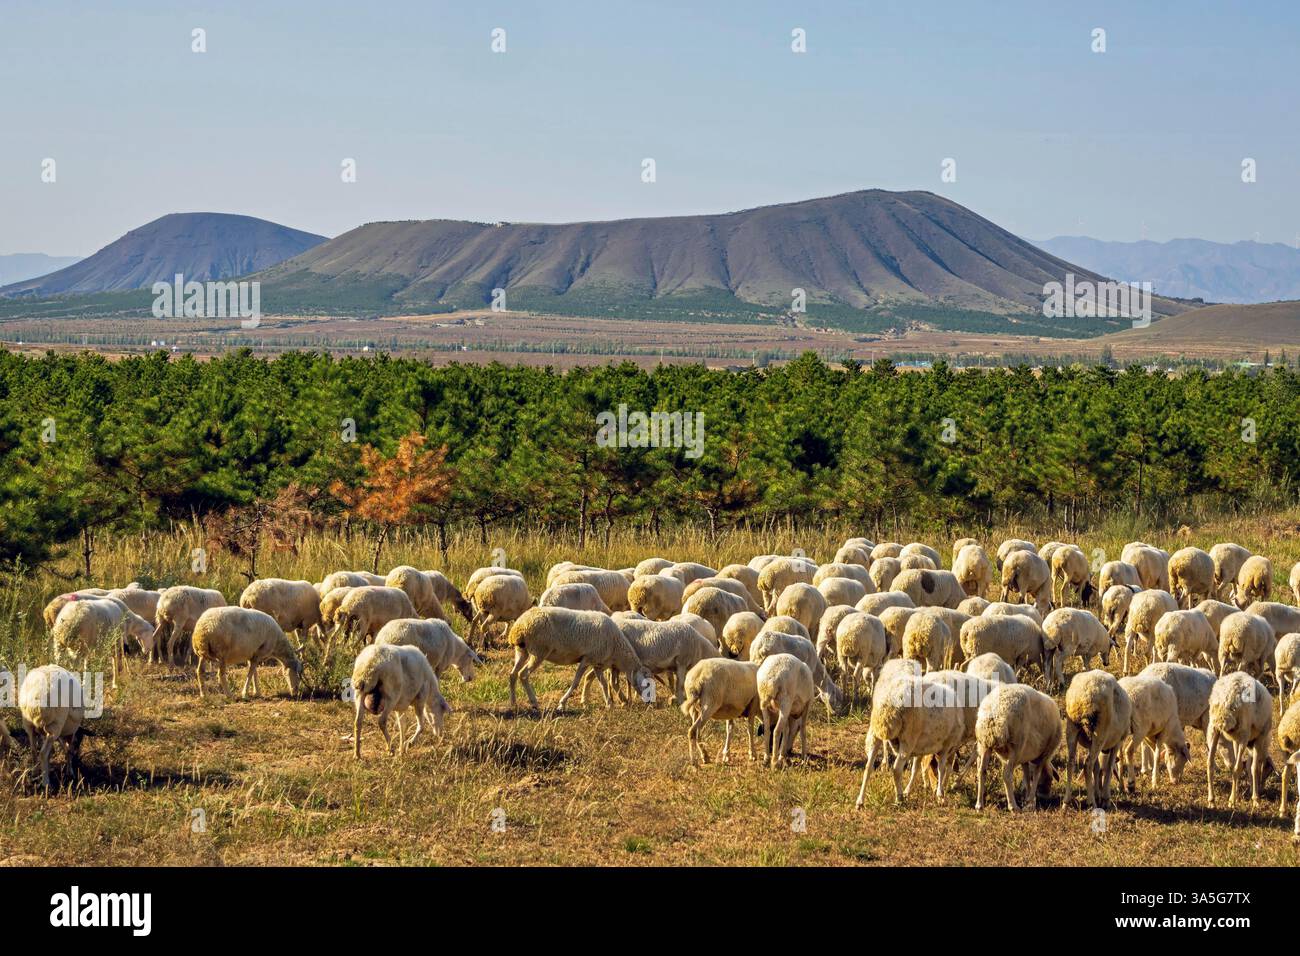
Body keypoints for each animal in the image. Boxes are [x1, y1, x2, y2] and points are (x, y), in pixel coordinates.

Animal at [507, 607, 651, 712]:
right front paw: (562, 704)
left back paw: (513, 703)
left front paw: (608, 703)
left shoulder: (597, 663)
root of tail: (518, 627)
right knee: (523, 674)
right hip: (538, 651)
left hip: (522, 650)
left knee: (512, 674)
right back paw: (534, 703)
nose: (650, 703)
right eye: (648, 684)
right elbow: (576, 682)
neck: (616, 647)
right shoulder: (587, 659)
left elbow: (602, 683)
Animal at [856, 675, 965, 806]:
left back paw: (860, 801)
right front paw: (940, 795)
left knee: (868, 767)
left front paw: (908, 790)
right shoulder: (945, 746)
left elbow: (915, 768)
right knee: (896, 769)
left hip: (875, 732)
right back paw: (899, 798)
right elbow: (941, 769)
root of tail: (889, 702)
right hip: (907, 738)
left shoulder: (921, 748)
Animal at [973, 683, 1062, 811]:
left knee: (981, 771)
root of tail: (995, 712)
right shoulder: (1045, 753)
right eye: (1050, 779)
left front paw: (1028, 797)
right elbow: (1036, 774)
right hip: (1016, 745)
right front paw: (1031, 800)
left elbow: (1026, 774)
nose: (1046, 796)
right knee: (1006, 775)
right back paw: (1013, 806)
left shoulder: (1025, 757)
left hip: (984, 743)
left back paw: (979, 804)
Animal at [1063, 670, 1133, 809]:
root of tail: (1084, 696)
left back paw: (1066, 802)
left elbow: (1097, 767)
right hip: (1099, 733)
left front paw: (1097, 793)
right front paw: (1105, 798)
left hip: (1072, 727)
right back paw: (1091, 803)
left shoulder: (1091, 744)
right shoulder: (1118, 742)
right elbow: (1109, 767)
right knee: (1087, 765)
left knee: (1071, 762)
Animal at [1206, 671, 1273, 808]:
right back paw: (1231, 801)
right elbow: (1253, 768)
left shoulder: (1236, 739)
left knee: (1209, 764)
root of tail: (1228, 695)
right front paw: (1255, 799)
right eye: (1268, 771)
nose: (1262, 789)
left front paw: (1237, 791)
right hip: (1243, 733)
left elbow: (1241, 765)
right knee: (1237, 768)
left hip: (1213, 728)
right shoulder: (1259, 737)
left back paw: (1211, 800)